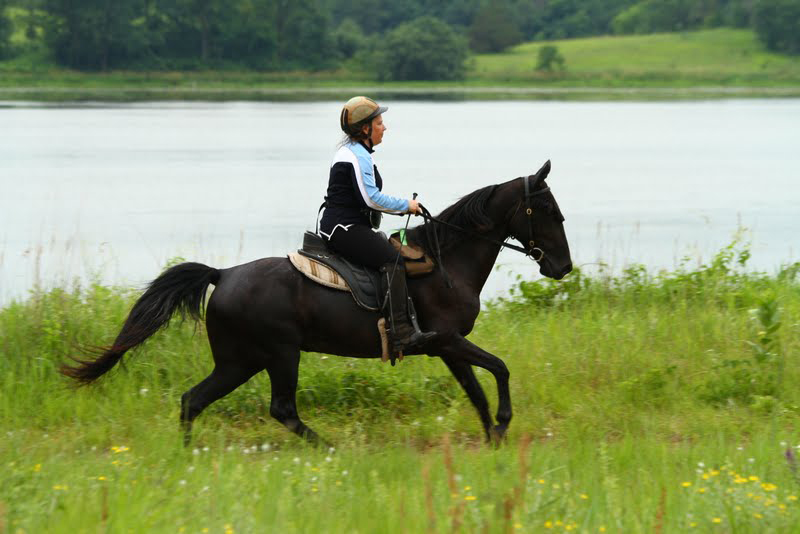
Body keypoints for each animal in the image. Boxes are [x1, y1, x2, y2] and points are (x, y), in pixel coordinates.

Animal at [61, 160, 572, 445]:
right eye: (547, 210)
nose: (562, 266)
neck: (449, 261)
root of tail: (222, 276)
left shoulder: (446, 348)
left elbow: (477, 390)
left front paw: (494, 437)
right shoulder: (445, 340)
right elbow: (500, 369)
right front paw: (503, 425)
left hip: (241, 361)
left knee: (192, 400)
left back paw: (187, 456)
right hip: (278, 354)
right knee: (280, 409)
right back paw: (327, 449)